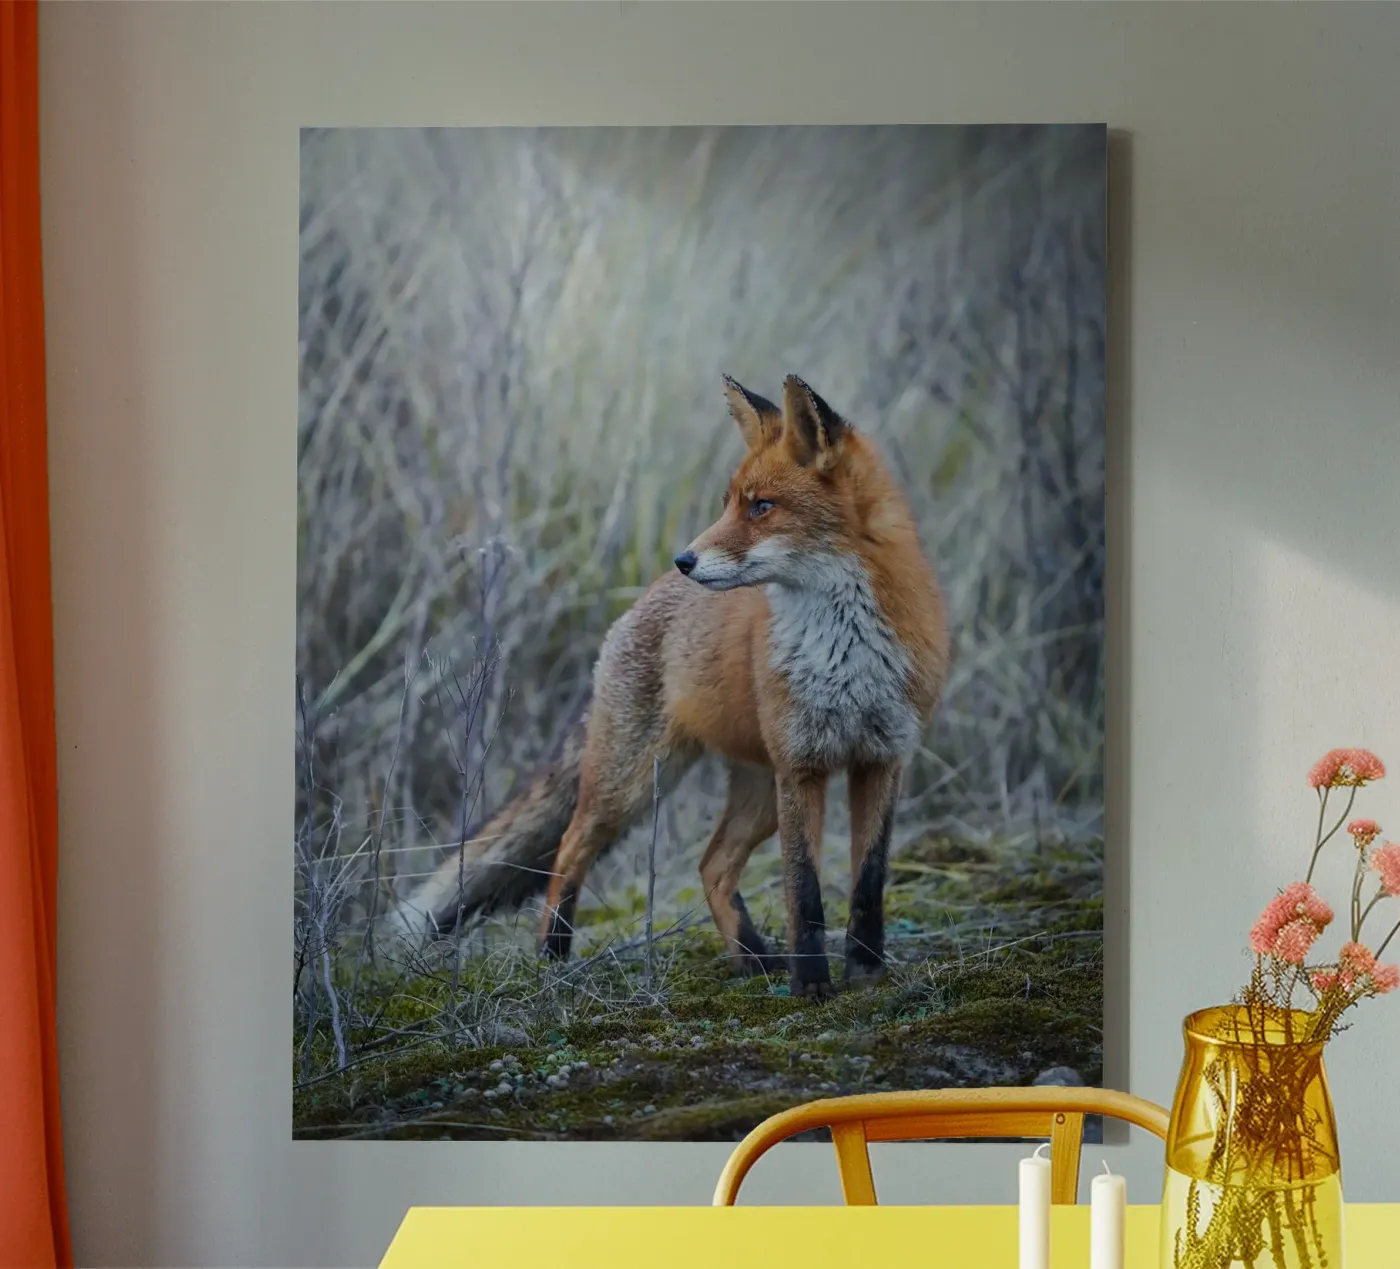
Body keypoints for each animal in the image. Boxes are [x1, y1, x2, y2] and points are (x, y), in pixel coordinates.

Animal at [401, 375, 949, 998]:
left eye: (762, 506)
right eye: (729, 502)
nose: (685, 558)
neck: (845, 651)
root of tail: (642, 599)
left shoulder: (882, 758)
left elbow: (868, 883)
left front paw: (867, 971)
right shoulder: (802, 766)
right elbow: (805, 894)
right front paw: (812, 986)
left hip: (758, 794)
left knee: (711, 865)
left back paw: (753, 959)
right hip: (633, 784)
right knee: (570, 847)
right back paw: (552, 956)